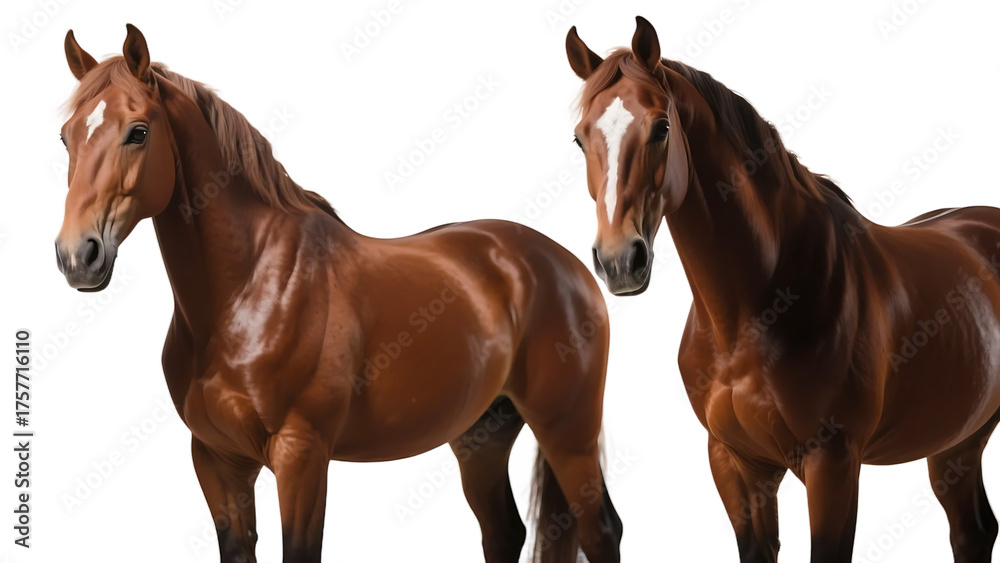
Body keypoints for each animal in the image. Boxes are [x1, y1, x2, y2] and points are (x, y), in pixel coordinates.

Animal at [53, 25, 623, 563]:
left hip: (567, 430)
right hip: (482, 435)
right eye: (65, 137)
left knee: (600, 531)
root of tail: (569, 265)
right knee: (504, 533)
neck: (248, 291)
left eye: (138, 131)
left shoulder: (301, 455)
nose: (77, 255)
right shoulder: (217, 460)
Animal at [565, 16, 1000, 563]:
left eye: (662, 127)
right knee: (972, 530)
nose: (620, 260)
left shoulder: (833, 464)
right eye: (580, 139)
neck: (752, 314)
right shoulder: (736, 462)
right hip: (957, 441)